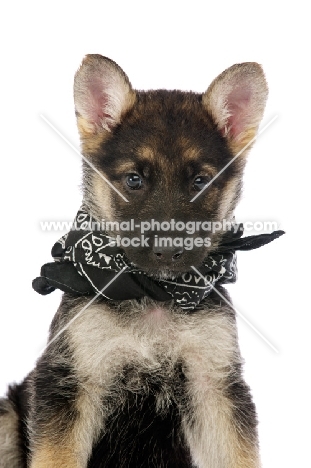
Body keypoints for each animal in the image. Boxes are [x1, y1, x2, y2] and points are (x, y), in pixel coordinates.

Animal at [0, 55, 268, 468]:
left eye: (201, 182)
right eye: (134, 180)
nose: (169, 251)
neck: (154, 293)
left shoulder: (214, 384)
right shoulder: (71, 382)